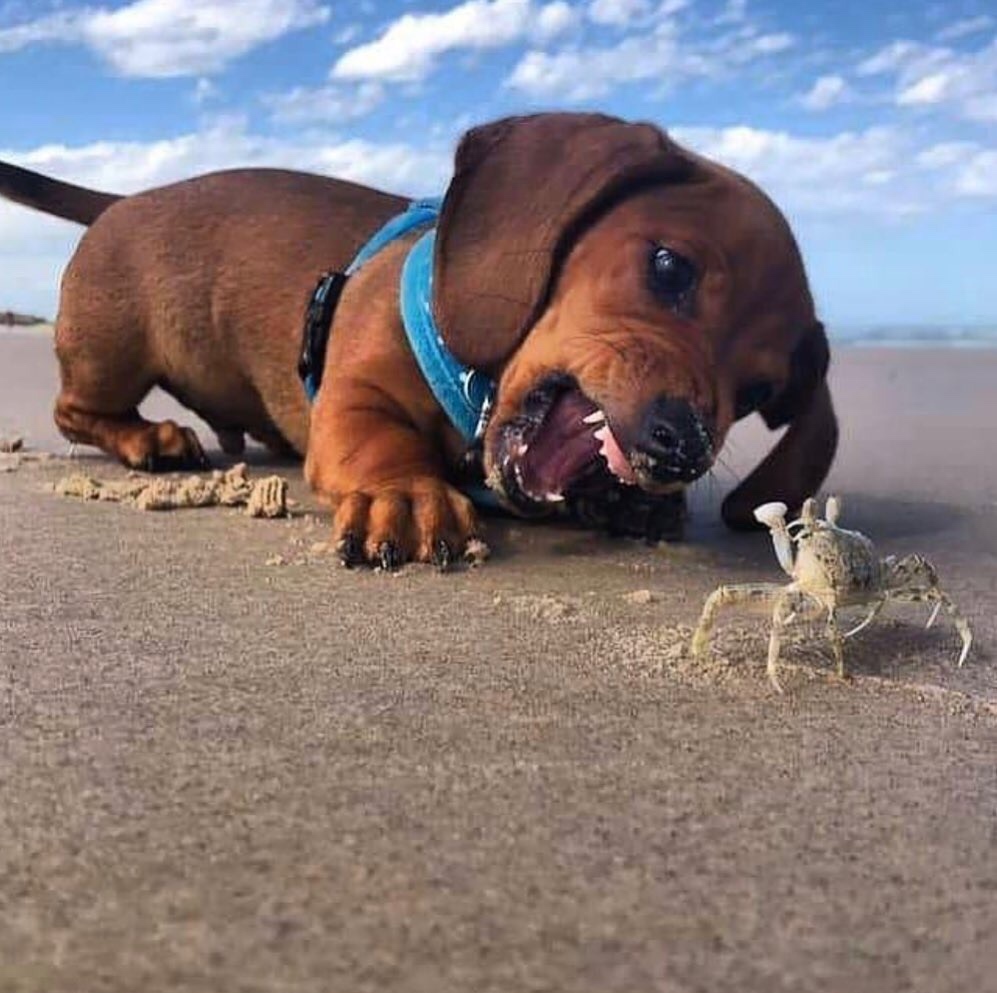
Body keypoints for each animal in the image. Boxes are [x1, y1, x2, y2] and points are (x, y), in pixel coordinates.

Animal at [0, 112, 832, 564]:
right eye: (667, 267)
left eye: (758, 390)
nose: (681, 450)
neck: (475, 403)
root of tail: (122, 198)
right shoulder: (354, 395)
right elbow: (382, 444)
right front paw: (402, 494)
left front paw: (642, 507)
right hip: (112, 352)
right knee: (75, 412)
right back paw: (152, 439)